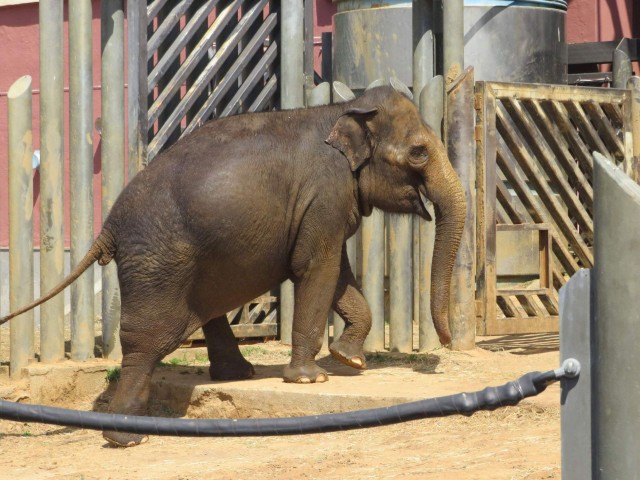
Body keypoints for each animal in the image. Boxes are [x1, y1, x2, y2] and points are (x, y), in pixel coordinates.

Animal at [0, 86, 466, 447]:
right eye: (419, 152)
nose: (447, 343)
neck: (346, 109)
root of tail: (108, 226)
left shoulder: (327, 205)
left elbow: (336, 270)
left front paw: (349, 360)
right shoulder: (325, 191)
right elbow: (316, 267)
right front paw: (310, 378)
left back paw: (237, 374)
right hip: (157, 262)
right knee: (145, 340)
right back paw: (127, 438)